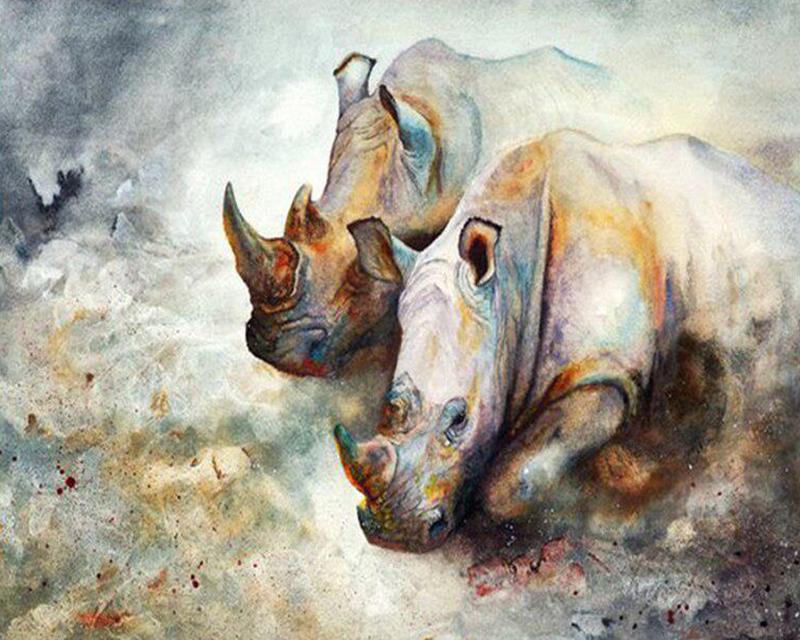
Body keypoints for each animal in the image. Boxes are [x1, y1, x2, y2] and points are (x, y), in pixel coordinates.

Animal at [333, 129, 800, 551]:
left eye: (459, 419)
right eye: (388, 406)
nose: (395, 534)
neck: (511, 286)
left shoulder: (607, 372)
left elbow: (510, 482)